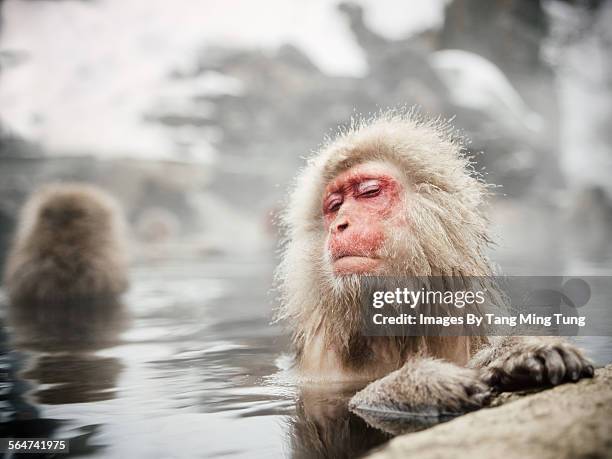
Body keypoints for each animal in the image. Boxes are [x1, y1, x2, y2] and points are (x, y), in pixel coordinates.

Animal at [276, 112, 592, 416]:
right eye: (334, 206)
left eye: (369, 192)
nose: (339, 225)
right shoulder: (320, 361)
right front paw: (422, 383)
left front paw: (518, 353)